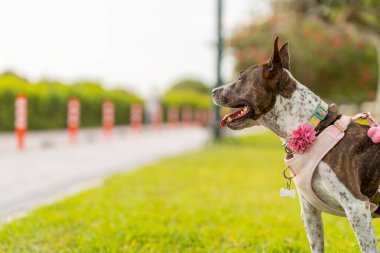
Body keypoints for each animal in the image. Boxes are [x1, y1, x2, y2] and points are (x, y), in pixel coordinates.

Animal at [211, 36, 380, 252]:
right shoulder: (310, 211)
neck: (315, 129)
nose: (213, 90)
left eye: (240, 79)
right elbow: (317, 246)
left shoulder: (357, 207)